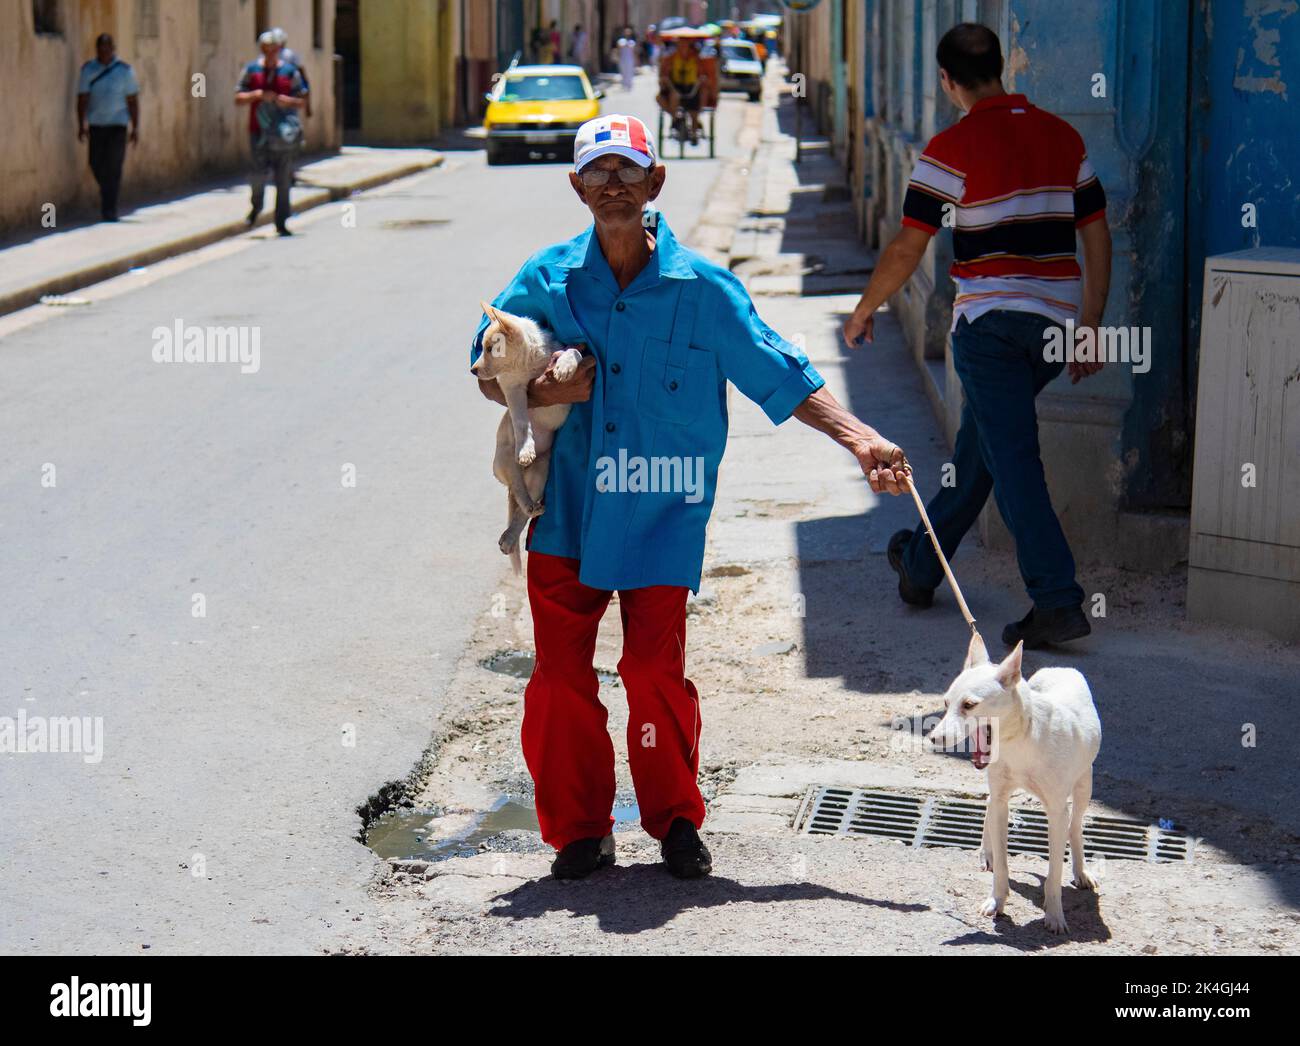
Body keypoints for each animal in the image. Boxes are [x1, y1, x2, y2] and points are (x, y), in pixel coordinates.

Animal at [930, 631, 1102, 935]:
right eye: (946, 703)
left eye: (969, 705)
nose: (934, 739)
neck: (1021, 741)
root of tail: (1060, 668)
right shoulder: (1002, 801)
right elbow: (1002, 863)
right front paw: (996, 901)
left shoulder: (1057, 812)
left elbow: (1054, 871)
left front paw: (1055, 916)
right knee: (988, 802)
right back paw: (985, 852)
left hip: (1084, 786)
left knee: (1076, 825)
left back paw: (1080, 871)